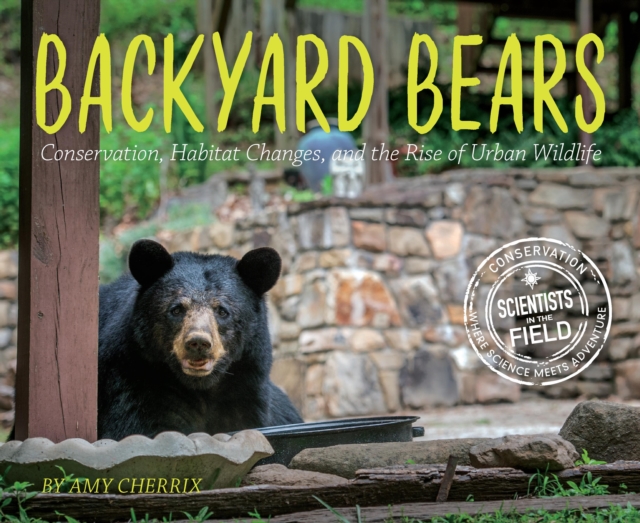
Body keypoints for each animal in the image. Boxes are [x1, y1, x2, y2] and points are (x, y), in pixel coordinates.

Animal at [97, 239, 303, 440]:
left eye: (222, 311)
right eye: (176, 309)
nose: (198, 342)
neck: (201, 386)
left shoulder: (246, 386)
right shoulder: (135, 379)